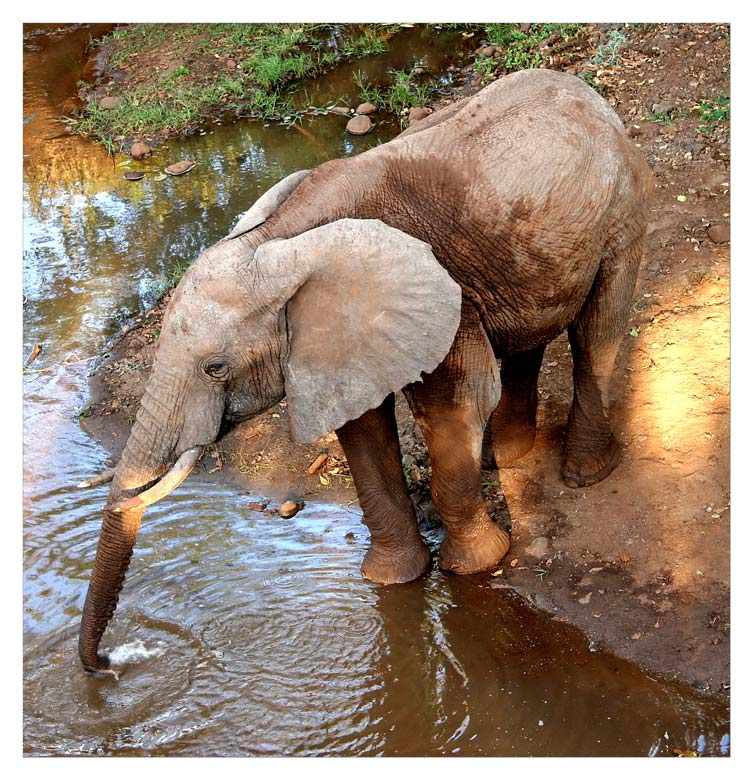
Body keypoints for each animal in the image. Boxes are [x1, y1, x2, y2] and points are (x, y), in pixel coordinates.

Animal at [77, 69, 652, 674]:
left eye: (215, 368)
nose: (108, 664)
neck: (281, 239)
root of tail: (587, 93)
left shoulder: (445, 294)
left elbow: (452, 406)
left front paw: (477, 567)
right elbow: (362, 429)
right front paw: (393, 581)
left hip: (623, 204)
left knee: (597, 330)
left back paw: (585, 474)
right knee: (532, 333)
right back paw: (506, 459)